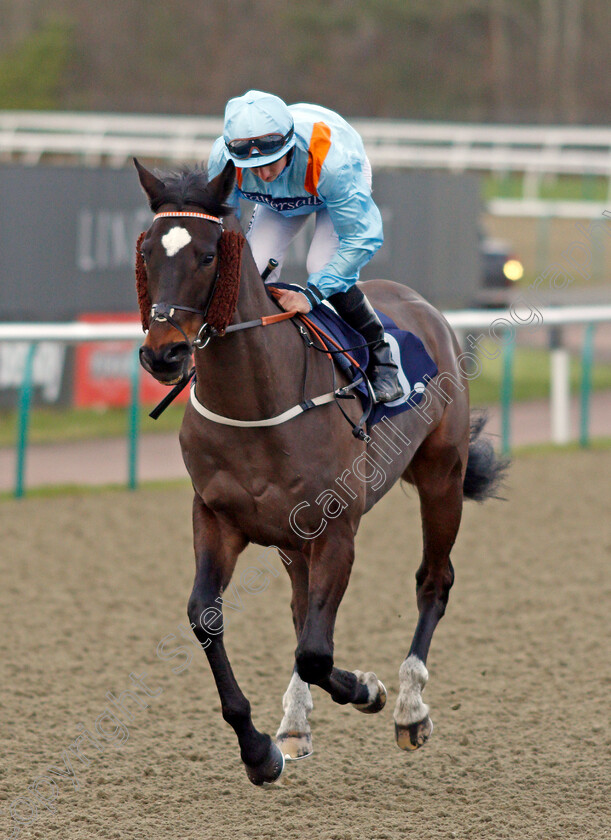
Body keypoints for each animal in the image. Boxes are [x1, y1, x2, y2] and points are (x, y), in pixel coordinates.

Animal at [134, 158, 506, 788]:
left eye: (207, 256)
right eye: (147, 253)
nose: (163, 354)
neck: (256, 403)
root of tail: (419, 303)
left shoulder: (337, 529)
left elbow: (315, 651)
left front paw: (370, 691)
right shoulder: (217, 517)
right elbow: (207, 618)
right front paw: (260, 749)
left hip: (442, 476)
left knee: (433, 581)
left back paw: (410, 707)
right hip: (293, 538)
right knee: (303, 609)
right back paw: (295, 723)